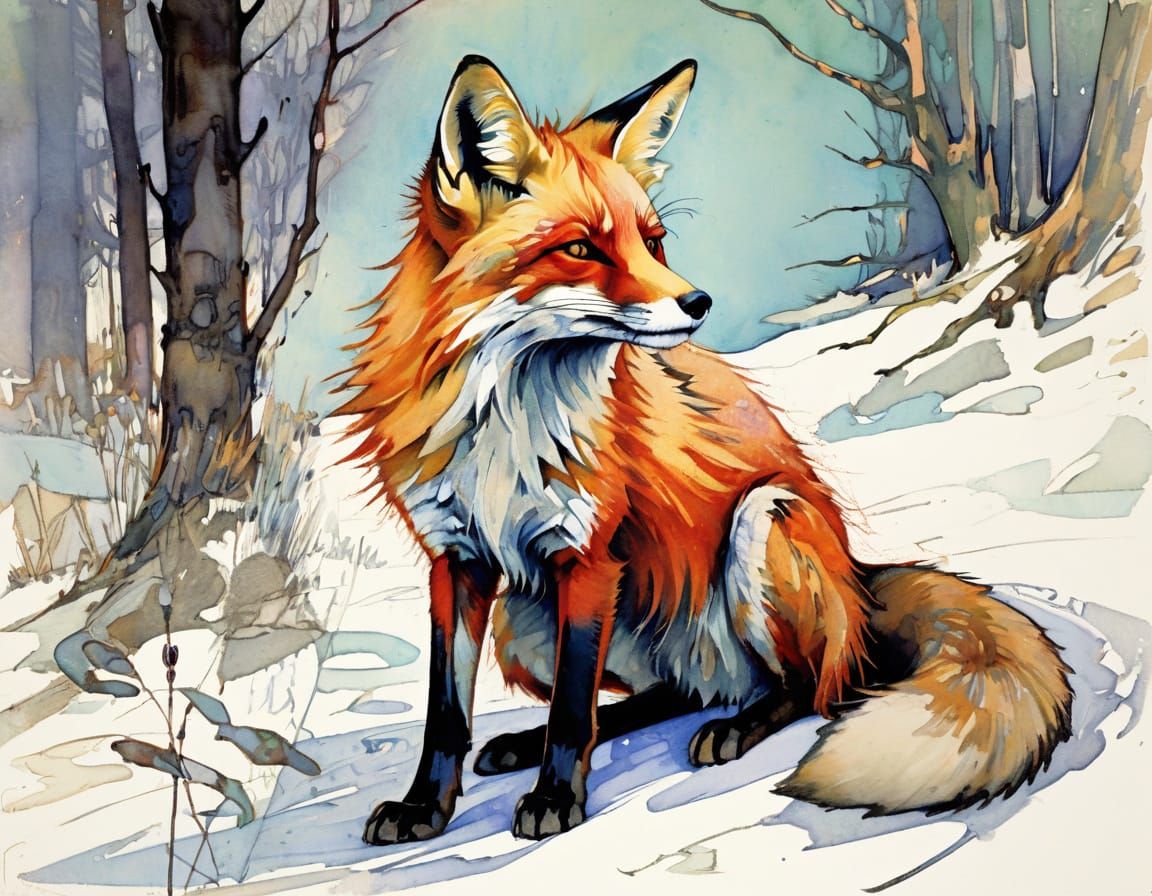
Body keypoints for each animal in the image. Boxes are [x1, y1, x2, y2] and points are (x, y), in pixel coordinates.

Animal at [336, 55, 1073, 844]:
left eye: (652, 241)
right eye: (580, 248)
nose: (699, 303)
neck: (506, 420)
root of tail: (860, 580)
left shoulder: (588, 555)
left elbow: (570, 711)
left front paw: (557, 799)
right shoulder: (457, 560)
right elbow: (448, 714)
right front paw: (425, 807)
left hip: (761, 521)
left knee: (812, 684)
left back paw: (736, 727)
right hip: (525, 619)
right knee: (665, 694)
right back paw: (534, 741)